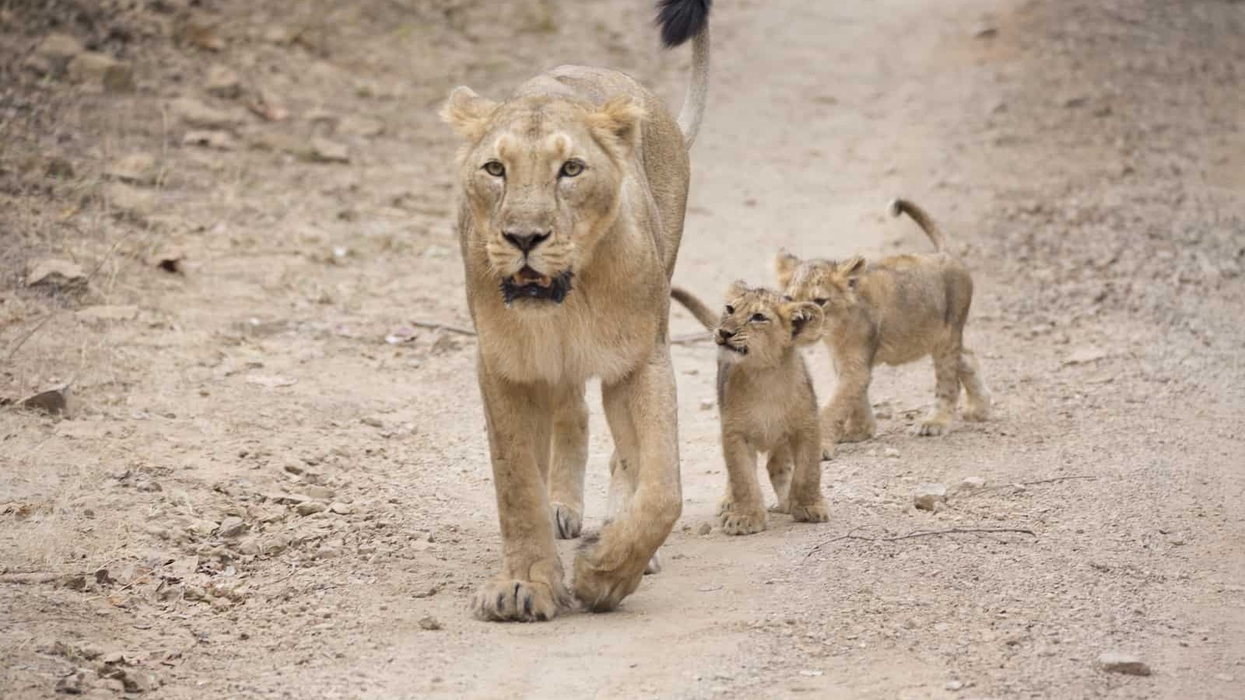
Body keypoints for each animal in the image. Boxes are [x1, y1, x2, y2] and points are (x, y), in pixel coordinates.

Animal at [439, 0, 711, 621]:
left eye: (571, 169)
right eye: (495, 169)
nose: (524, 237)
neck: (568, 301)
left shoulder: (641, 358)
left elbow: (663, 489)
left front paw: (604, 575)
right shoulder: (504, 365)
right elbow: (516, 484)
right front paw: (525, 584)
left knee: (624, 456)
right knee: (569, 413)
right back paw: (562, 508)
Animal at [670, 282, 830, 535]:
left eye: (758, 317)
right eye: (730, 309)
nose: (724, 332)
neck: (765, 376)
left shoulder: (807, 426)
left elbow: (808, 471)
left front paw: (809, 506)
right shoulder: (734, 432)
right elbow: (742, 478)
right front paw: (745, 517)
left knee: (777, 465)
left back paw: (786, 500)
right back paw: (730, 501)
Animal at [776, 198, 992, 458]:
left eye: (819, 301)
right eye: (789, 298)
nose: (796, 324)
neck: (835, 330)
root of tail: (946, 254)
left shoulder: (855, 363)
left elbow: (835, 404)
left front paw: (822, 445)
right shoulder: (844, 361)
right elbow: (855, 396)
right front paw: (860, 431)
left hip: (947, 336)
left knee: (948, 382)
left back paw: (935, 422)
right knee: (967, 356)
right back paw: (979, 408)